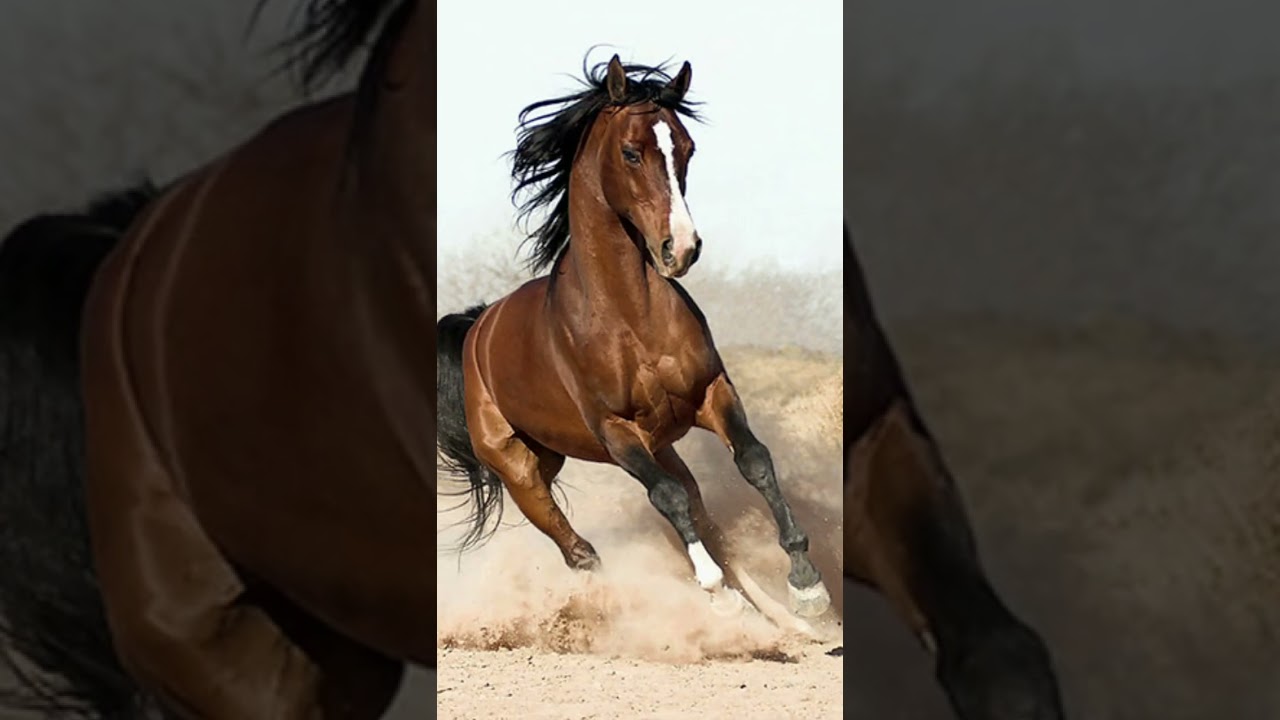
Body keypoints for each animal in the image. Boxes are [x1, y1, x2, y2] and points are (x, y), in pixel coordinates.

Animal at [435, 54, 833, 621]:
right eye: (631, 152)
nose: (681, 248)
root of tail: (477, 329)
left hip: (646, 446)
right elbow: (666, 498)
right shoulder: (616, 431)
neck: (629, 317)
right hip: (521, 469)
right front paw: (716, 591)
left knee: (700, 514)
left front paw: (806, 585)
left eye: (686, 147)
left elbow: (754, 461)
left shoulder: (712, 393)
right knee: (580, 549)